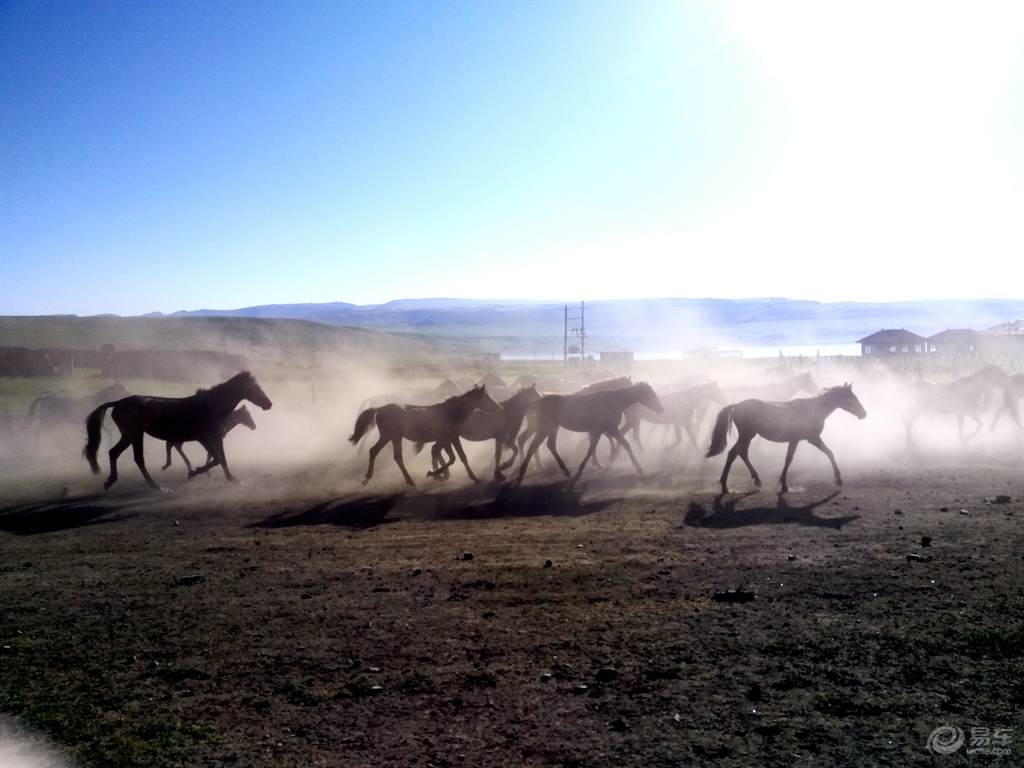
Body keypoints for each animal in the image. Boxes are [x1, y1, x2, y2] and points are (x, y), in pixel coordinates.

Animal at [84, 374, 274, 493]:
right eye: (255, 387)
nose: (269, 404)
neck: (212, 405)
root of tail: (117, 402)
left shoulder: (216, 437)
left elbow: (222, 459)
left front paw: (233, 479)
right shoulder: (204, 438)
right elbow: (217, 459)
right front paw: (194, 472)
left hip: (130, 435)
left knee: (116, 453)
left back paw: (111, 481)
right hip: (134, 434)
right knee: (135, 458)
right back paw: (154, 486)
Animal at [348, 387, 499, 489]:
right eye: (487, 397)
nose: (498, 407)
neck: (450, 412)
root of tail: (379, 408)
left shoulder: (452, 438)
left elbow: (461, 457)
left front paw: (474, 478)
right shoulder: (445, 440)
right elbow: (449, 458)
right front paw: (433, 473)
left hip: (387, 436)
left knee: (374, 451)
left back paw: (366, 479)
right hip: (395, 436)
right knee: (397, 456)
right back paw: (412, 483)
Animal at [512, 382, 663, 489]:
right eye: (651, 394)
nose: (661, 409)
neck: (613, 401)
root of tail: (536, 402)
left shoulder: (603, 430)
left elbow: (620, 445)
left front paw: (637, 467)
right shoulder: (608, 429)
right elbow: (594, 449)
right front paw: (580, 471)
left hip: (551, 428)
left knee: (549, 445)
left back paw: (565, 471)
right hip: (546, 428)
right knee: (533, 446)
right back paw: (521, 475)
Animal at [708, 382, 868, 495]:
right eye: (852, 398)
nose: (864, 414)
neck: (814, 409)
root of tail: (736, 406)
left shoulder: (796, 440)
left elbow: (789, 458)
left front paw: (783, 484)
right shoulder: (812, 438)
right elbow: (827, 453)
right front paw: (838, 479)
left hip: (748, 436)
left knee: (741, 453)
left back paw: (756, 480)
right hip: (747, 435)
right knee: (733, 453)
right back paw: (724, 486)